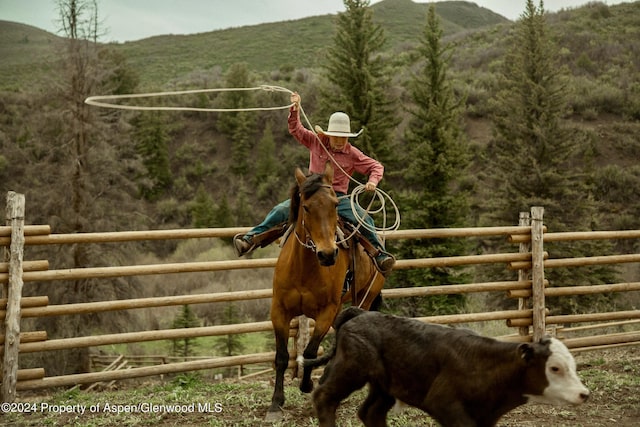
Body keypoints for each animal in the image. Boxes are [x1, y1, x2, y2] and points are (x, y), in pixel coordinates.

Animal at [266, 162, 384, 420]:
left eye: (335, 205)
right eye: (306, 207)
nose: (328, 254)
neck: (304, 268)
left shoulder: (326, 312)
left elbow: (310, 352)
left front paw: (307, 385)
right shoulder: (279, 311)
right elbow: (281, 357)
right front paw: (276, 403)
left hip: (365, 298)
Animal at [306, 308, 592, 427]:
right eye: (555, 368)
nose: (584, 394)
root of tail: (360, 313)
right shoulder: (444, 403)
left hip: (385, 385)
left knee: (371, 413)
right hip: (351, 370)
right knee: (323, 397)